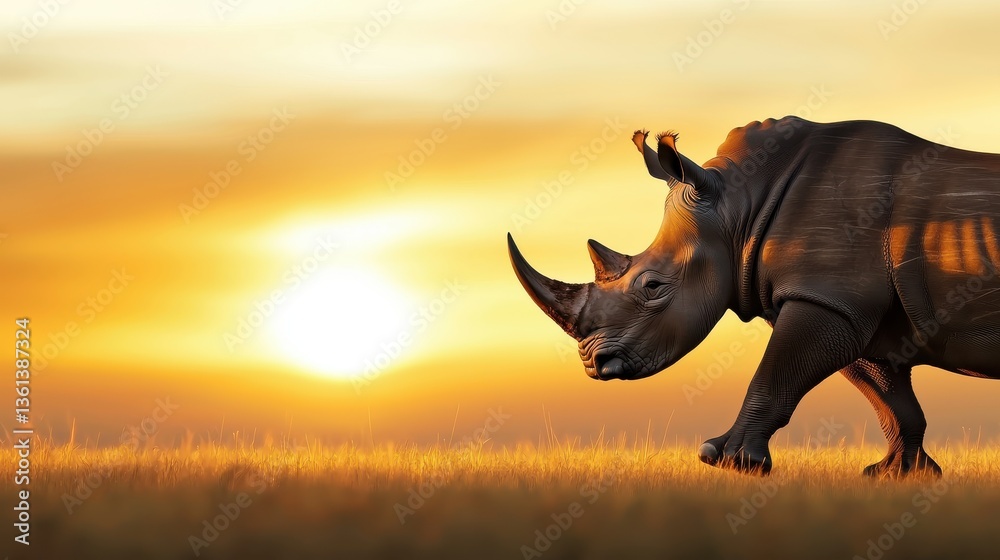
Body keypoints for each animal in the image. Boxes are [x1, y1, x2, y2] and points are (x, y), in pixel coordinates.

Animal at [508, 116, 1000, 477]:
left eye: (653, 287)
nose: (593, 364)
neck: (739, 209)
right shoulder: (850, 307)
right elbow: (890, 398)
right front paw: (899, 474)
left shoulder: (825, 298)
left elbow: (774, 375)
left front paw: (727, 460)